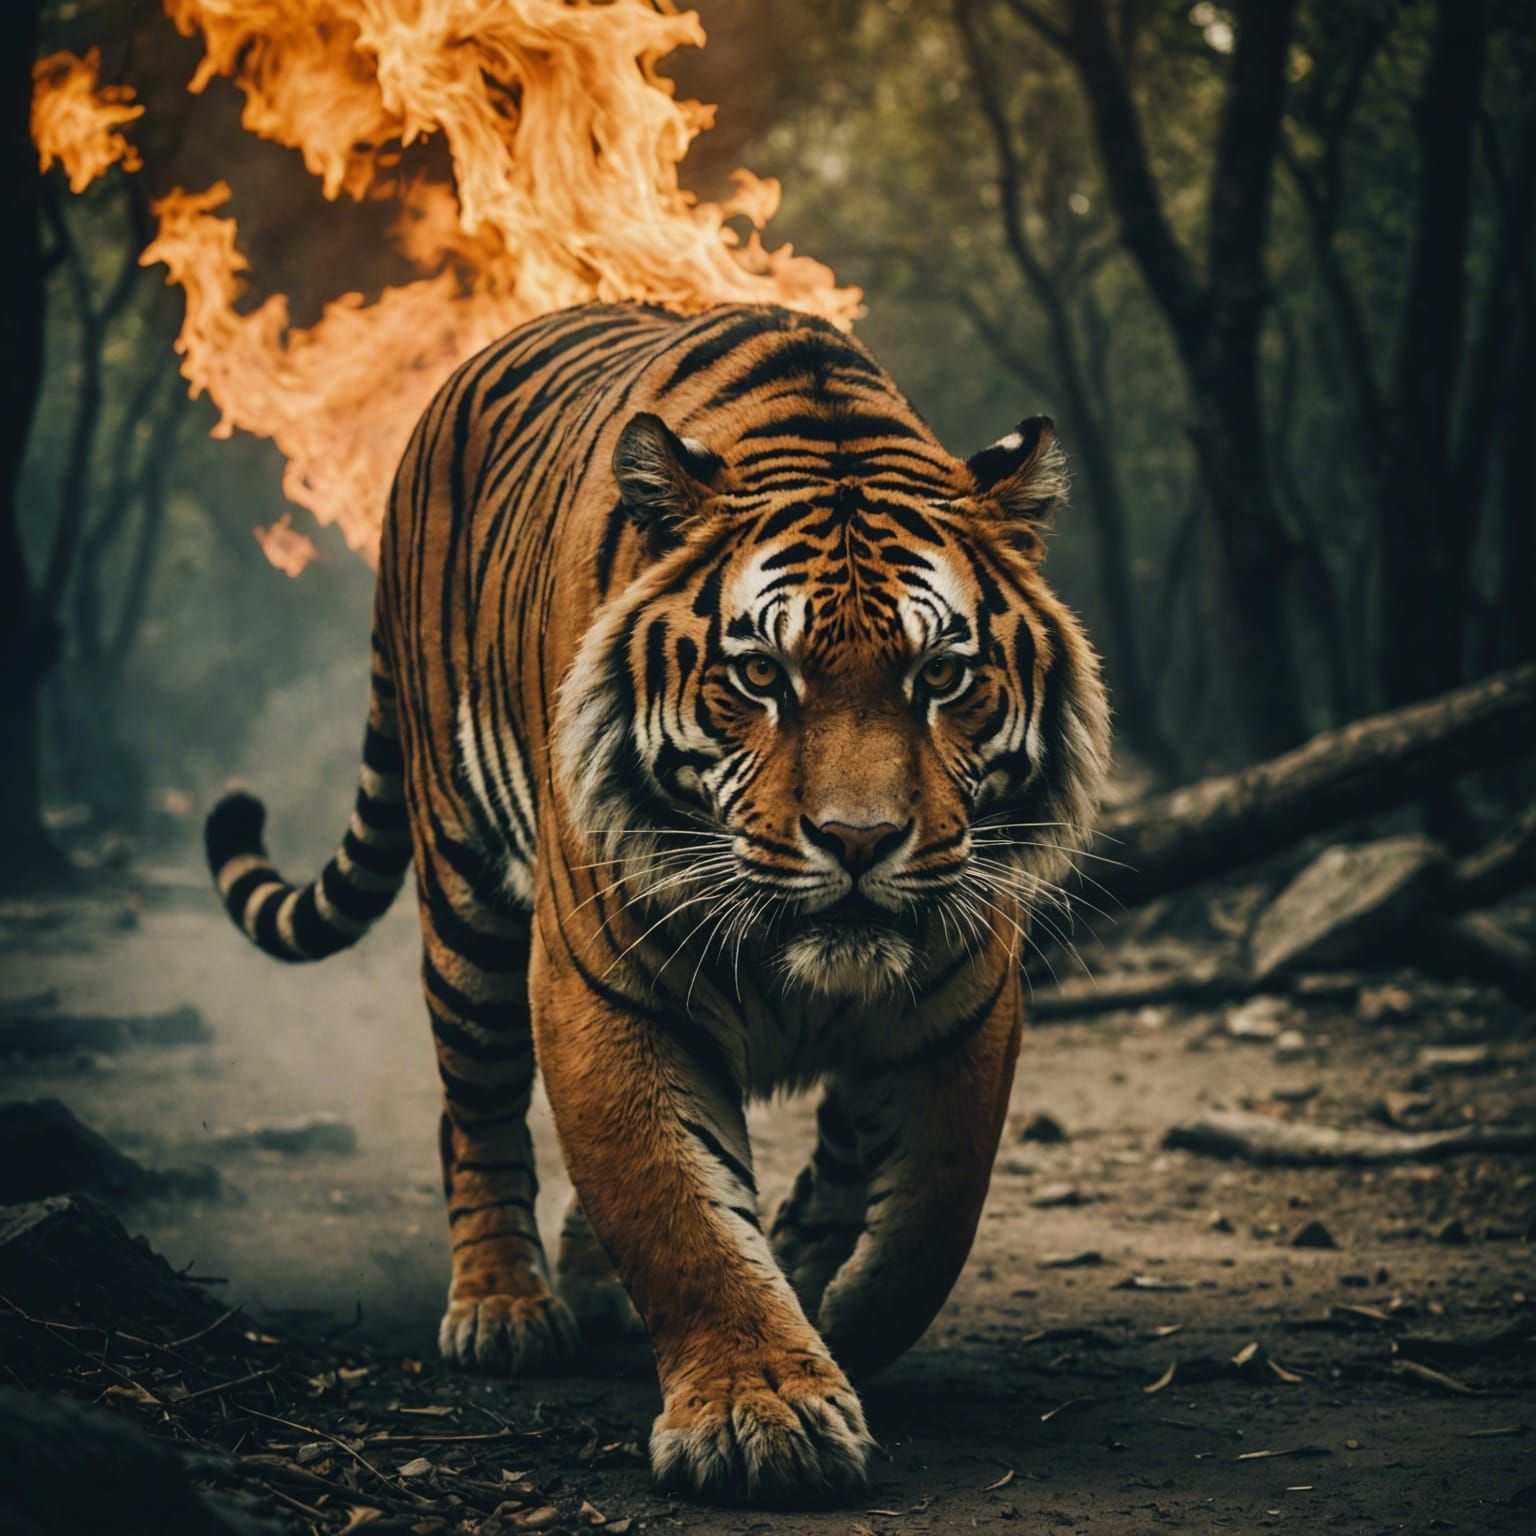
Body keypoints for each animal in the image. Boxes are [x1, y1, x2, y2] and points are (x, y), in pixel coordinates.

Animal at [205, 301, 1109, 1505]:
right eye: (762, 677)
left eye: (941, 678)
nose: (859, 842)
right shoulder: (604, 986)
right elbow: (676, 1211)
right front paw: (759, 1413)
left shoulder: (965, 995)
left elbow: (932, 1215)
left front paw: (840, 1309)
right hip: (464, 895)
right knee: (474, 1107)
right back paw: (504, 1305)